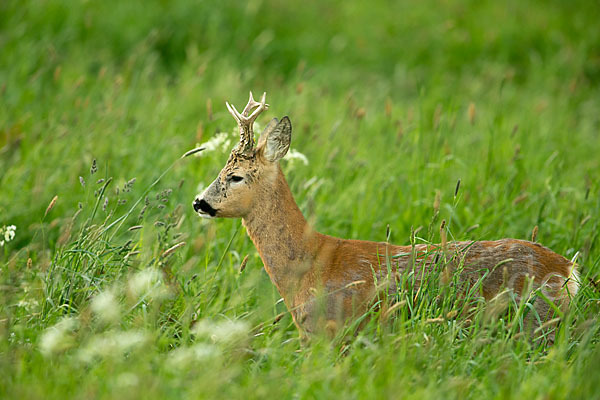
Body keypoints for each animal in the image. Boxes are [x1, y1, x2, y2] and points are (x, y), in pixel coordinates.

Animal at [192, 91, 576, 338]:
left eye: (235, 176)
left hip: (534, 324)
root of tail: (568, 269)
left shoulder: (330, 331)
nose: (199, 202)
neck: (310, 260)